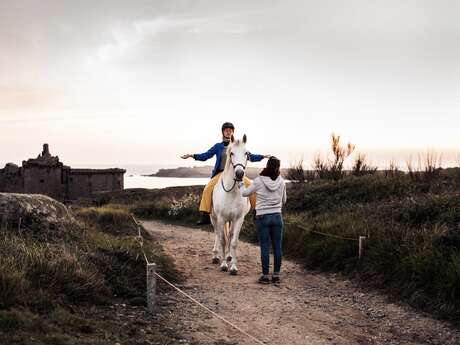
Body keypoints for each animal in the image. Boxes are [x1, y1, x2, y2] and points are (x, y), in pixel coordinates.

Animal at [211, 134, 252, 274]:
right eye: (231, 153)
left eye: (246, 153)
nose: (239, 174)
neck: (232, 191)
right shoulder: (221, 218)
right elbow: (223, 240)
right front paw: (223, 265)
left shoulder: (239, 219)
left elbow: (233, 241)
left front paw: (233, 267)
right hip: (214, 218)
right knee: (217, 234)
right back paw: (216, 256)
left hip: (231, 220)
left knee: (229, 234)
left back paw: (228, 256)